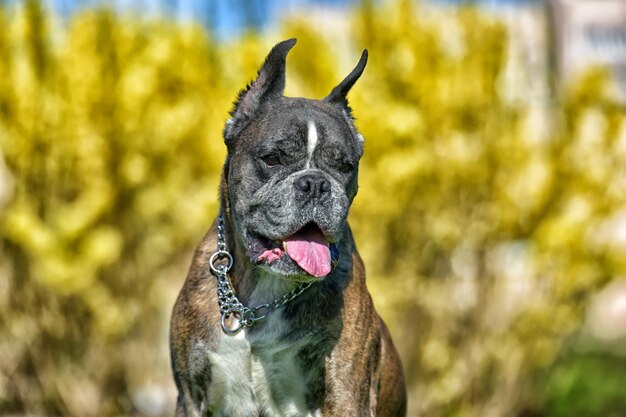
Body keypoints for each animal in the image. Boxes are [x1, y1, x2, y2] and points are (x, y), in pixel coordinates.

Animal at [169, 39, 404, 416]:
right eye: (272, 158)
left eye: (345, 166)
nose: (316, 184)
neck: (261, 297)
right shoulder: (191, 397)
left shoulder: (346, 395)